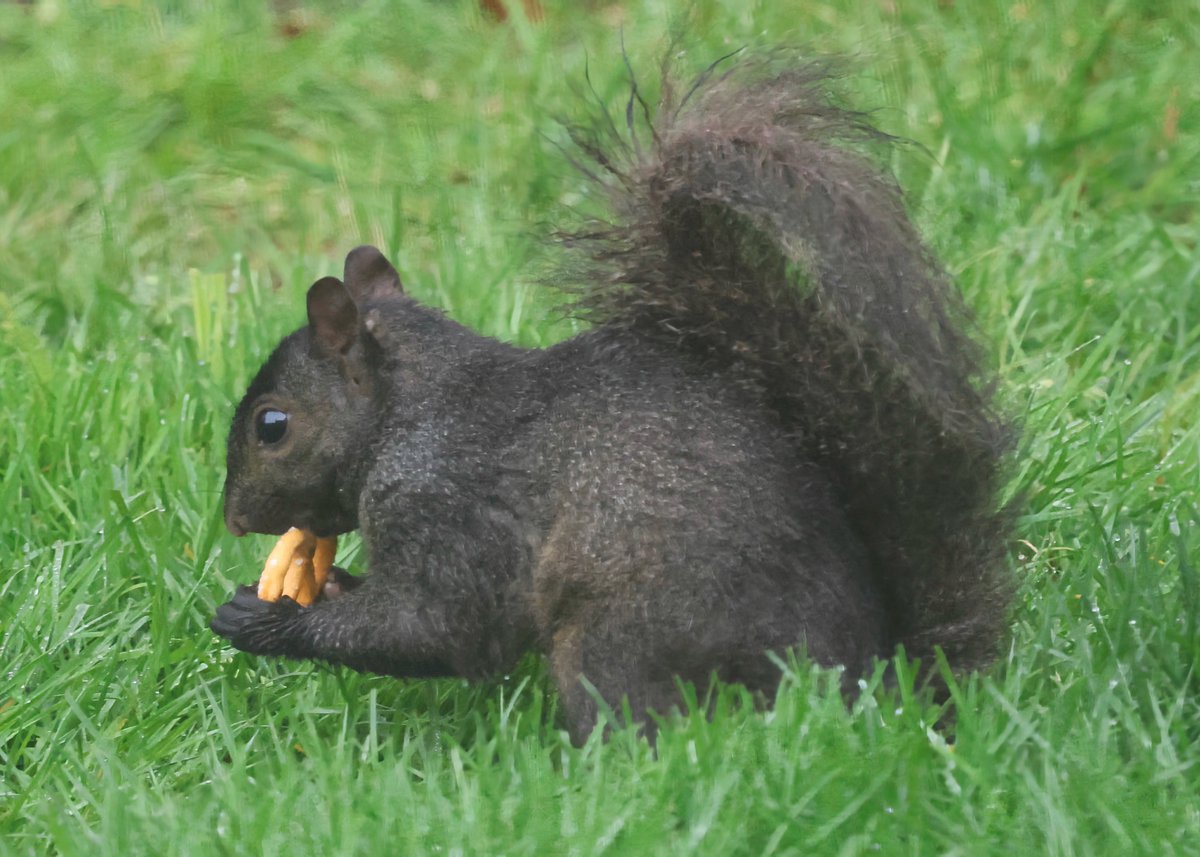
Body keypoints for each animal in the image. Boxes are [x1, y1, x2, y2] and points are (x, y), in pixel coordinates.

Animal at [211, 55, 1015, 745]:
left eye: (271, 425)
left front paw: (265, 621)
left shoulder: (444, 504)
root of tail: (872, 686)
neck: (411, 410)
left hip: (620, 640)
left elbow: (439, 626)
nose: (234, 517)